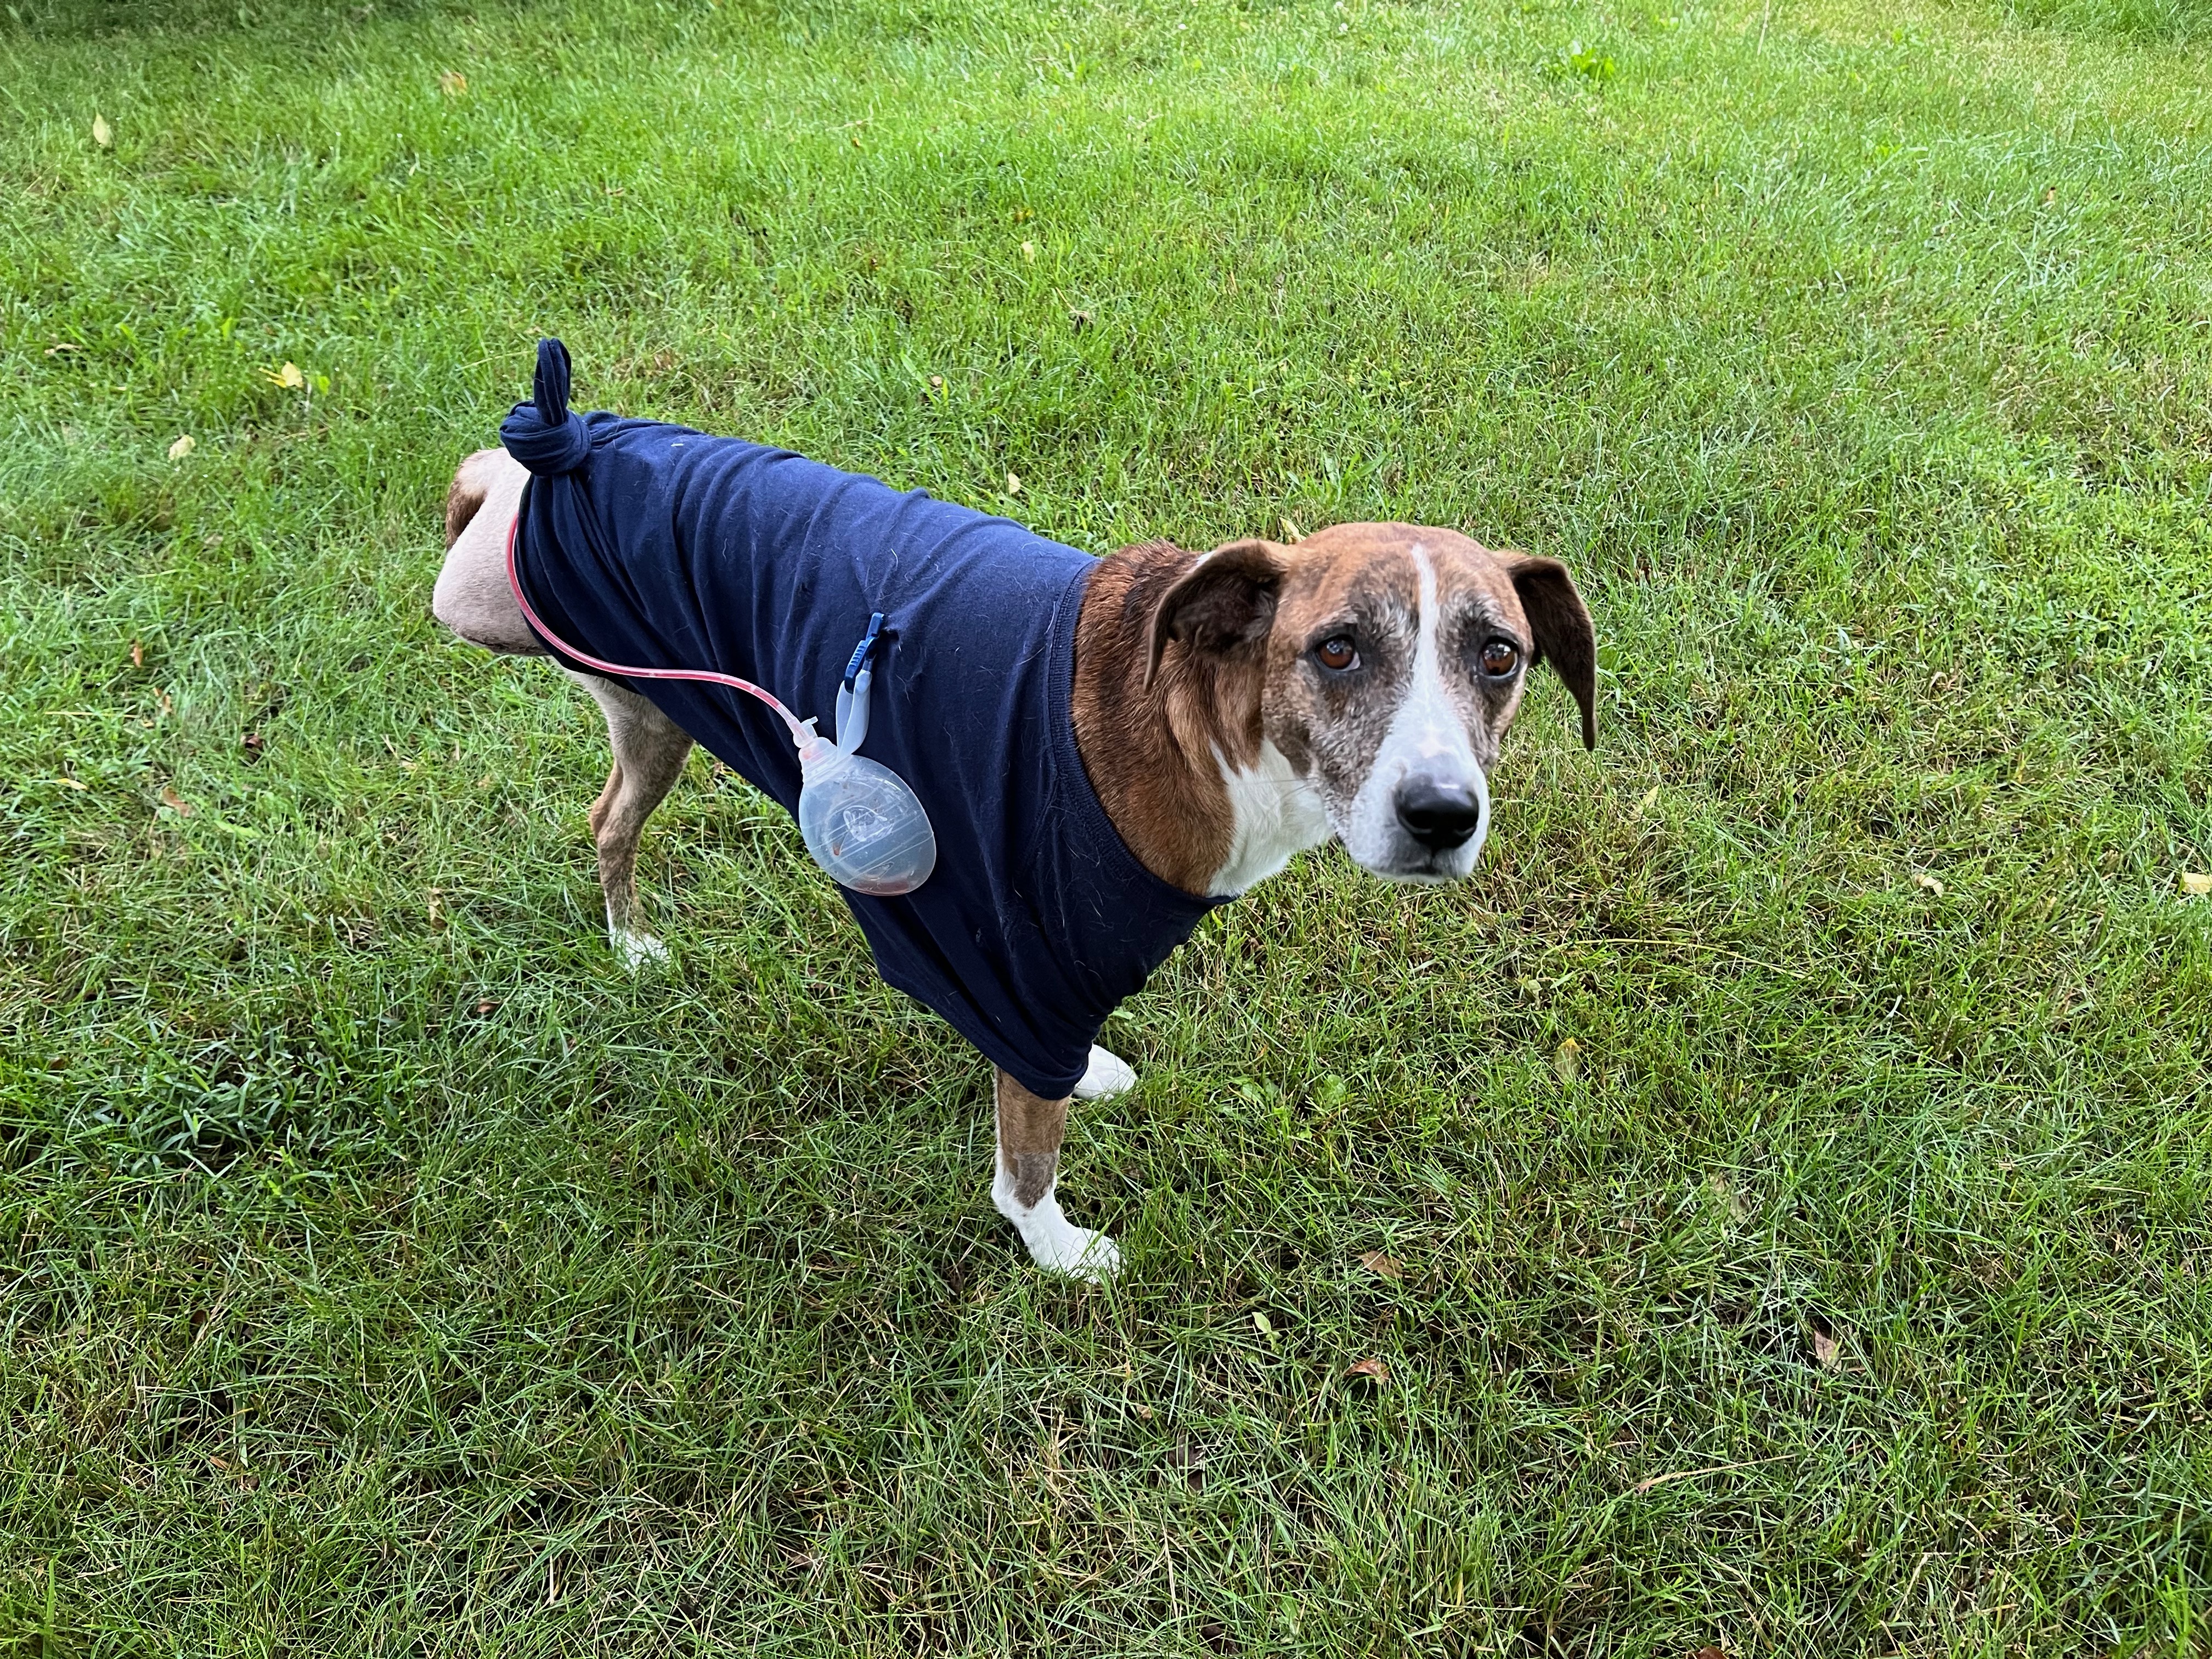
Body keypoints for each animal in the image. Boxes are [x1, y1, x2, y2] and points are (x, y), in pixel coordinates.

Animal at [436, 340, 1593, 1283]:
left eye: (1500, 656)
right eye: (1338, 648)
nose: (1441, 813)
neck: (1201, 731)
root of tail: (577, 446)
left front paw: (1087, 1084)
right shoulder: (1027, 958)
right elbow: (1026, 1155)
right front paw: (1057, 1248)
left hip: (644, 704)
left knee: (604, 813)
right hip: (526, 618)